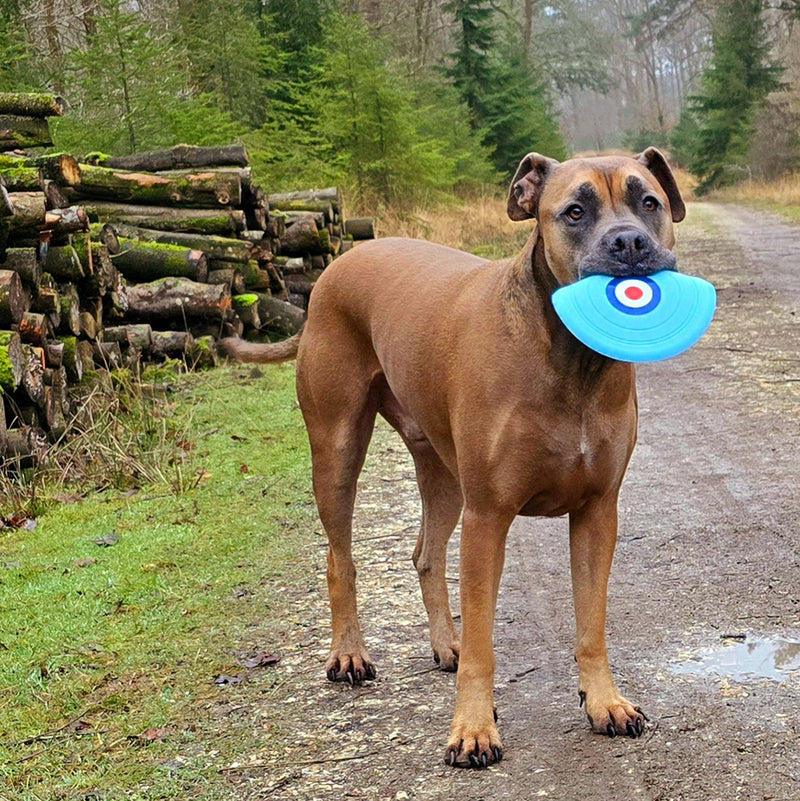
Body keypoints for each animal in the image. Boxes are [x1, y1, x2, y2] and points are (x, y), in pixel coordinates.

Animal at [220, 148, 688, 768]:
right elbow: (486, 643)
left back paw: (447, 644)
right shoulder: (487, 516)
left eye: (649, 202)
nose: (629, 242)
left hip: (442, 470)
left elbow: (591, 623)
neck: (570, 358)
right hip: (337, 448)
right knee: (340, 557)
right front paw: (473, 729)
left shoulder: (597, 512)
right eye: (575, 211)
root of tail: (338, 265)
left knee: (424, 552)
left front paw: (604, 702)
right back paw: (349, 655)